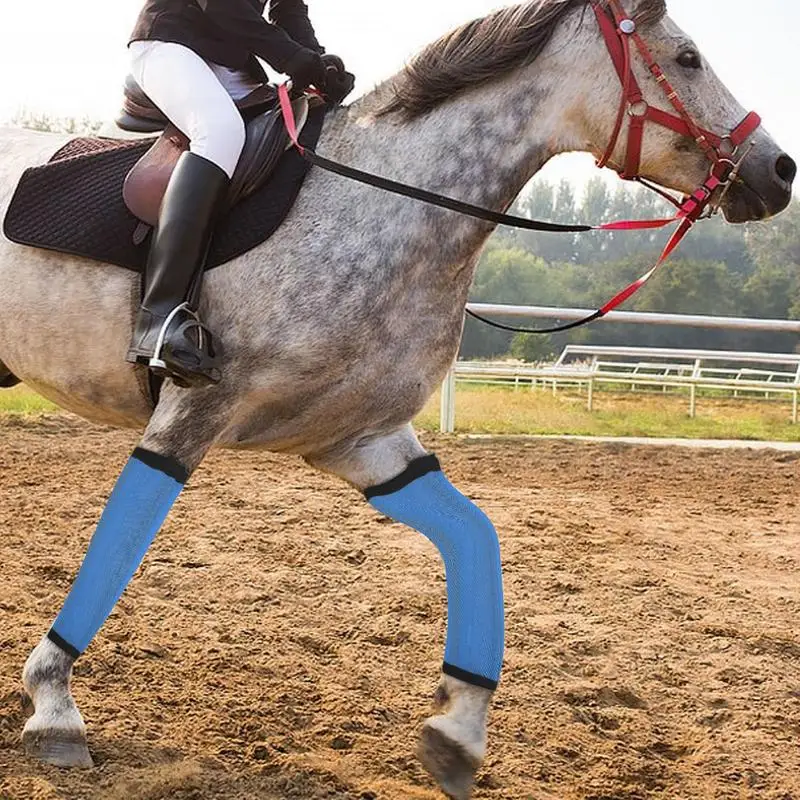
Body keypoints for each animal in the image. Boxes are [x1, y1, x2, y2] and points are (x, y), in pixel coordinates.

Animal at [0, 1, 792, 800]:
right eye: (688, 58)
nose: (779, 171)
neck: (382, 200)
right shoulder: (190, 415)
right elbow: (120, 544)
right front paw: (54, 705)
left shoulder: (364, 440)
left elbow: (477, 537)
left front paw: (457, 732)